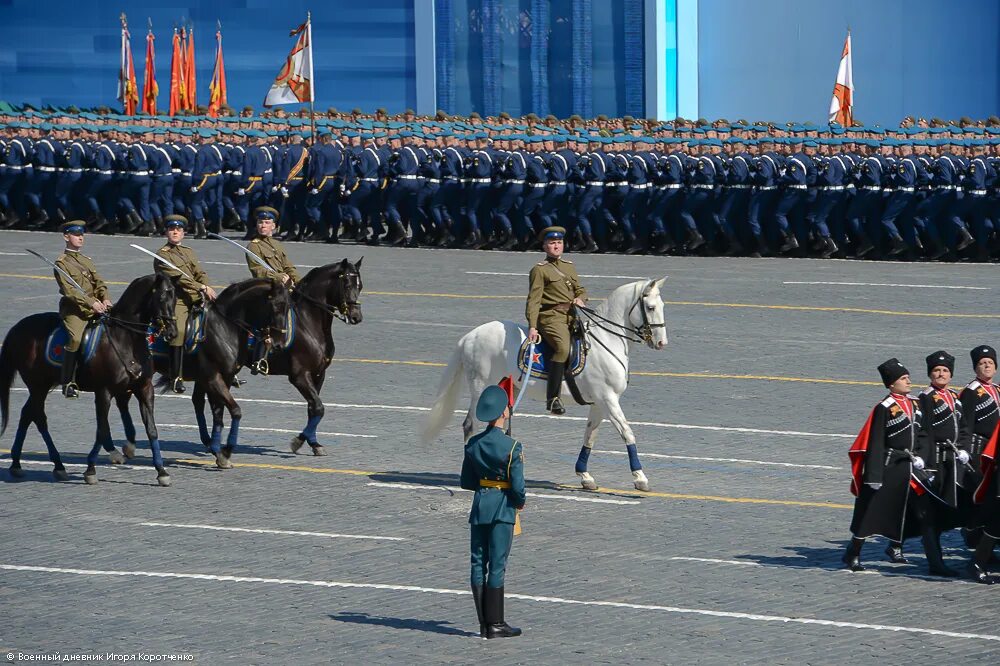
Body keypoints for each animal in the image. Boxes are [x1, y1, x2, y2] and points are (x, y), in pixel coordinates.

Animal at [0, 272, 177, 486]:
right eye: (161, 297)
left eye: (175, 298)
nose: (172, 332)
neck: (125, 338)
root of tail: (17, 327)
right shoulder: (104, 392)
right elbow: (101, 430)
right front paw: (91, 469)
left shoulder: (144, 389)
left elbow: (151, 429)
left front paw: (161, 471)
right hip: (38, 385)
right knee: (39, 417)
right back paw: (57, 465)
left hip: (43, 385)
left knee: (27, 414)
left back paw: (18, 464)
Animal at [191, 256, 364, 454]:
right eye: (347, 284)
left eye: (360, 286)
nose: (356, 317)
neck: (309, 323)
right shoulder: (299, 376)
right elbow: (319, 408)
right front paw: (298, 441)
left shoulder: (319, 374)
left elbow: (313, 408)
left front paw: (314, 443)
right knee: (201, 400)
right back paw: (209, 441)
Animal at [420, 274, 664, 488]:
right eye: (650, 307)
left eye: (662, 306)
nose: (662, 343)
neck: (606, 341)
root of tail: (470, 336)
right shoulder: (608, 399)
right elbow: (627, 432)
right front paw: (640, 478)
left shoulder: (599, 403)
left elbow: (590, 436)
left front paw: (585, 476)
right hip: (482, 388)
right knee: (470, 425)